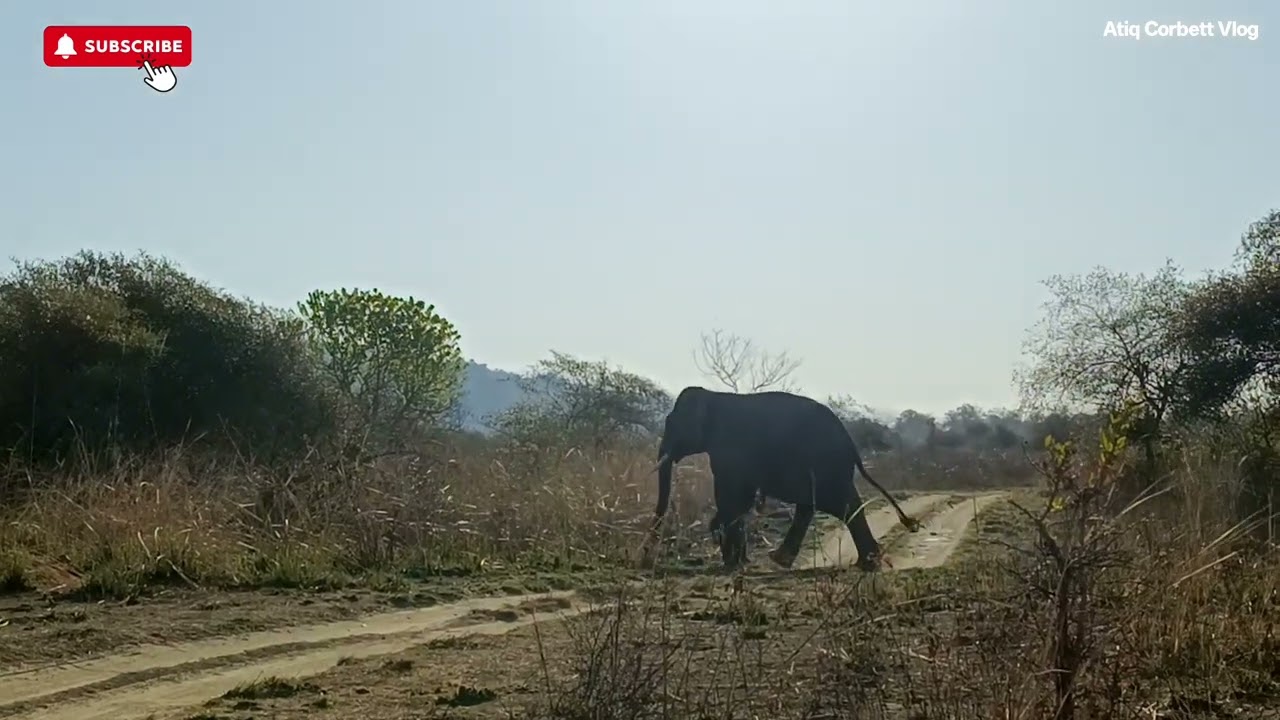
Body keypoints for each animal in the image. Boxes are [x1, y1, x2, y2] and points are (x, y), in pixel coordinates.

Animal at [641, 386, 920, 572]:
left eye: (672, 423)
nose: (645, 554)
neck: (712, 396)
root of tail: (851, 444)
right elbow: (740, 499)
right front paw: (736, 560)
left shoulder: (730, 450)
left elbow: (732, 494)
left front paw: (731, 562)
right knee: (814, 506)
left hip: (827, 467)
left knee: (841, 505)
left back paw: (867, 564)